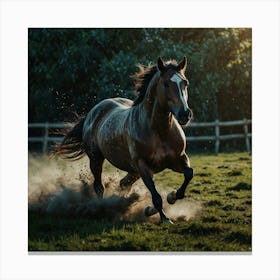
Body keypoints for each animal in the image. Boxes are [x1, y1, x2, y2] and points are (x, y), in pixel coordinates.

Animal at [51, 57, 194, 223]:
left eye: (185, 83)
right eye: (166, 84)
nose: (185, 114)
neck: (159, 131)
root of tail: (93, 112)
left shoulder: (178, 158)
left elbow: (189, 174)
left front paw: (170, 197)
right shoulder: (143, 166)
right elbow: (156, 196)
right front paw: (164, 218)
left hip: (133, 171)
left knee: (123, 184)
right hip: (96, 159)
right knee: (99, 186)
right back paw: (103, 209)